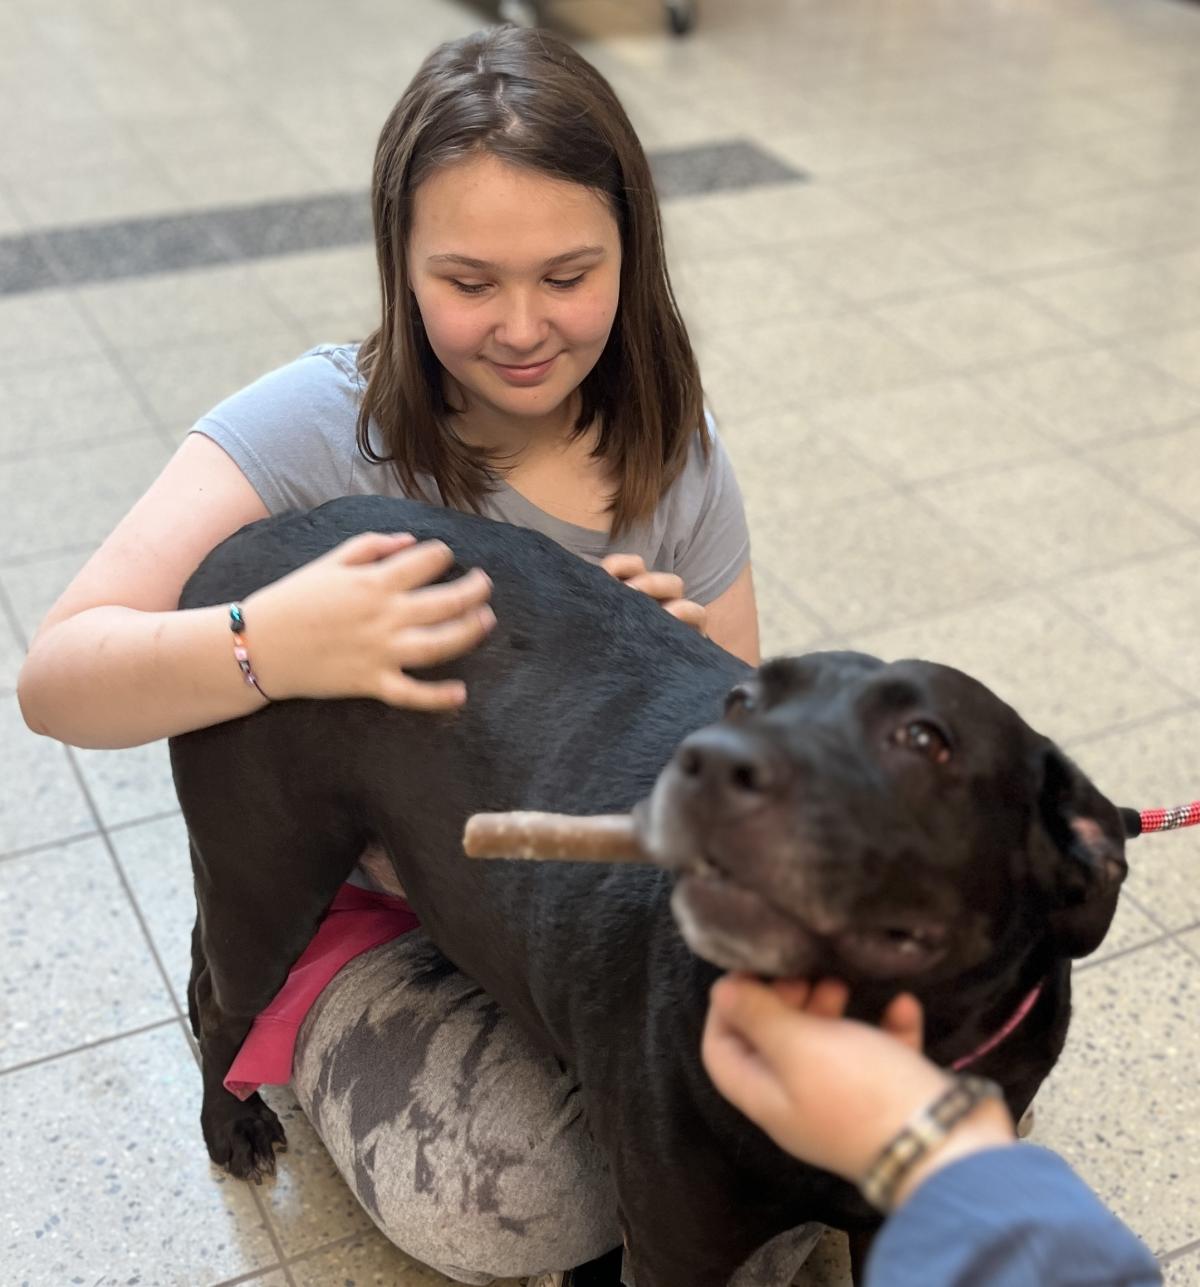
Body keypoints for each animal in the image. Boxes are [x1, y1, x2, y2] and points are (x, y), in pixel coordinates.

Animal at [173, 494, 1127, 1287]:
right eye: (742, 701)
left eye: (925, 737)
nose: (705, 762)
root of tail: (233, 550)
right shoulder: (675, 1250)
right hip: (273, 878)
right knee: (222, 1000)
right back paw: (229, 1123)